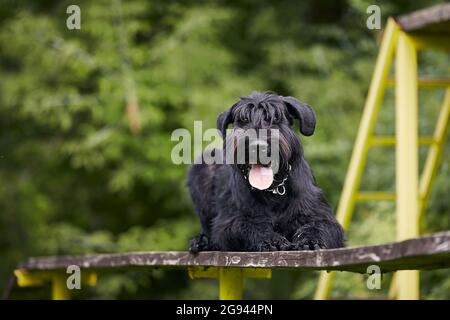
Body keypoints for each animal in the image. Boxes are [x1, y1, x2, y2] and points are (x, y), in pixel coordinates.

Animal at [186, 91, 344, 251]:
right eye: (243, 120)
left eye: (276, 118)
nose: (257, 146)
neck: (272, 191)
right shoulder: (228, 224)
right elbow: (250, 225)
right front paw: (273, 240)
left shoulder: (319, 215)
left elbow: (318, 226)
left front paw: (310, 241)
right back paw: (202, 241)